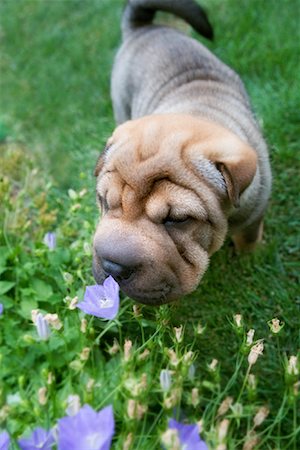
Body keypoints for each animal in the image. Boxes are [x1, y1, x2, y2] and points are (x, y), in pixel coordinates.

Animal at [92, 0, 272, 306]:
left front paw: (250, 261)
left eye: (177, 220)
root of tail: (144, 28)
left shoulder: (253, 211)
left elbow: (248, 239)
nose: (112, 266)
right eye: (104, 201)